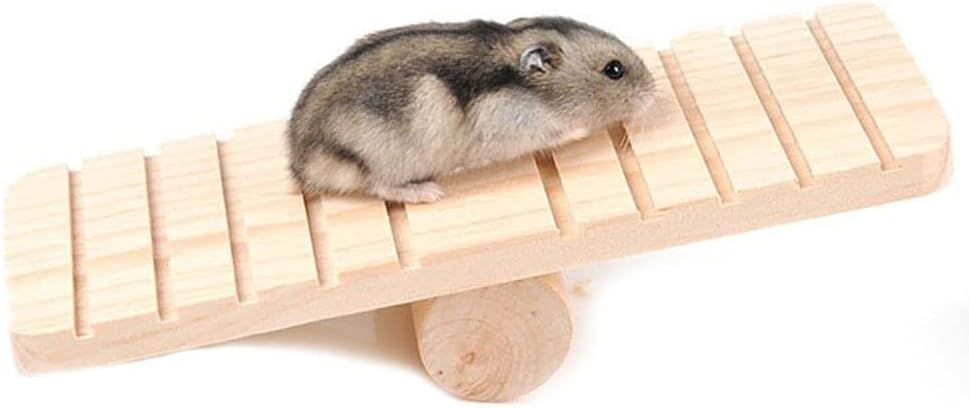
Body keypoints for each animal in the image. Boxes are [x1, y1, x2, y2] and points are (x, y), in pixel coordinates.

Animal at [287, 17, 655, 203]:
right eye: (614, 70)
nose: (653, 94)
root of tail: (301, 165)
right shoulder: (514, 129)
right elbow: (557, 131)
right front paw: (580, 130)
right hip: (378, 158)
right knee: (378, 186)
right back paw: (430, 192)